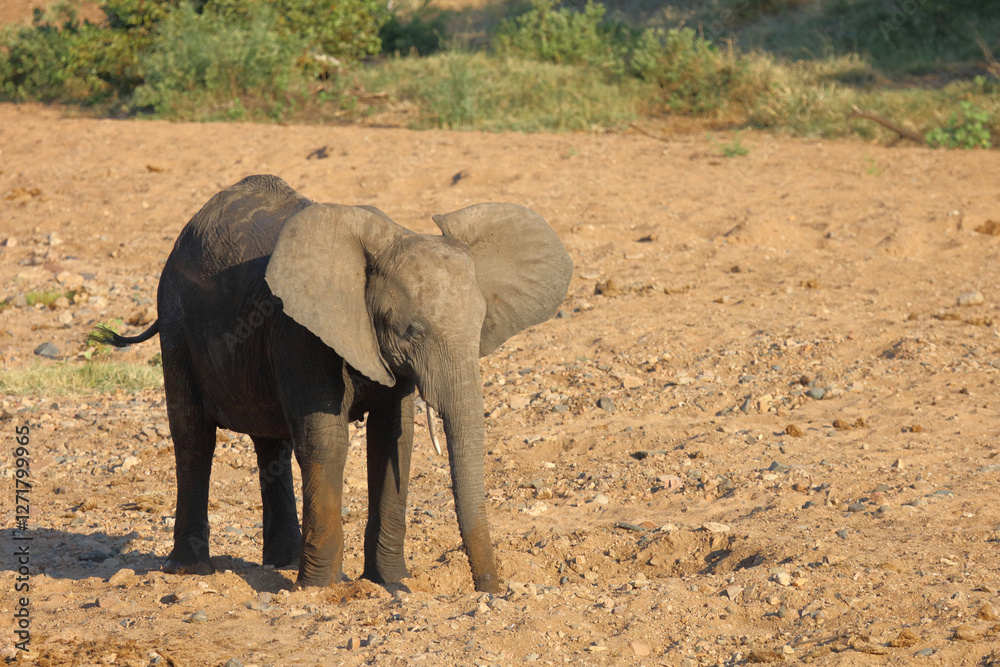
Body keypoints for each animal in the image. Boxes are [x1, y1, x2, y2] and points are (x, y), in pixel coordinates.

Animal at [91, 174, 572, 594]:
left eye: (480, 326)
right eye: (413, 331)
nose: (491, 589)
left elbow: (393, 441)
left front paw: (388, 583)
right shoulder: (298, 331)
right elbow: (327, 440)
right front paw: (320, 589)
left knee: (271, 443)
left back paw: (282, 562)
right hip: (176, 324)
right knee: (193, 437)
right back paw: (192, 571)